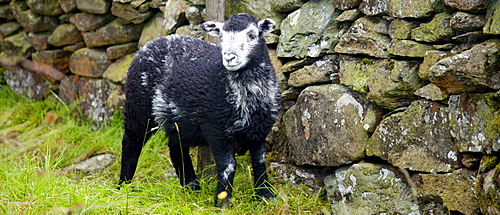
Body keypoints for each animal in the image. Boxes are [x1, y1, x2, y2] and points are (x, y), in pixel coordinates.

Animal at [118, 13, 280, 207]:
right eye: (221, 36)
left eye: (252, 35)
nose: (229, 57)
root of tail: (152, 43)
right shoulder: (216, 128)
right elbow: (228, 166)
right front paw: (223, 201)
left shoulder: (260, 129)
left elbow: (259, 161)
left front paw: (266, 195)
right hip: (138, 104)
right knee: (132, 141)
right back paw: (123, 186)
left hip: (178, 119)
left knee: (176, 149)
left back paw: (191, 187)